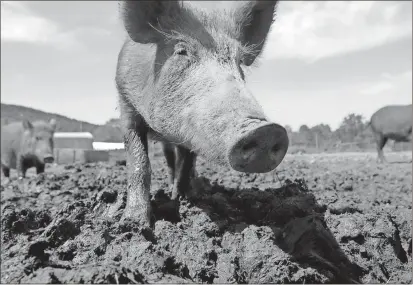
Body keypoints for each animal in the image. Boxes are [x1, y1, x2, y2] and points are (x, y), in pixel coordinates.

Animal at [111, 0, 288, 226]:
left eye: (239, 62)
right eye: (181, 51)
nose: (267, 131)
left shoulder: (190, 132)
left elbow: (186, 163)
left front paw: (183, 200)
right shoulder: (126, 106)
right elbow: (139, 162)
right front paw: (133, 223)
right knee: (169, 159)